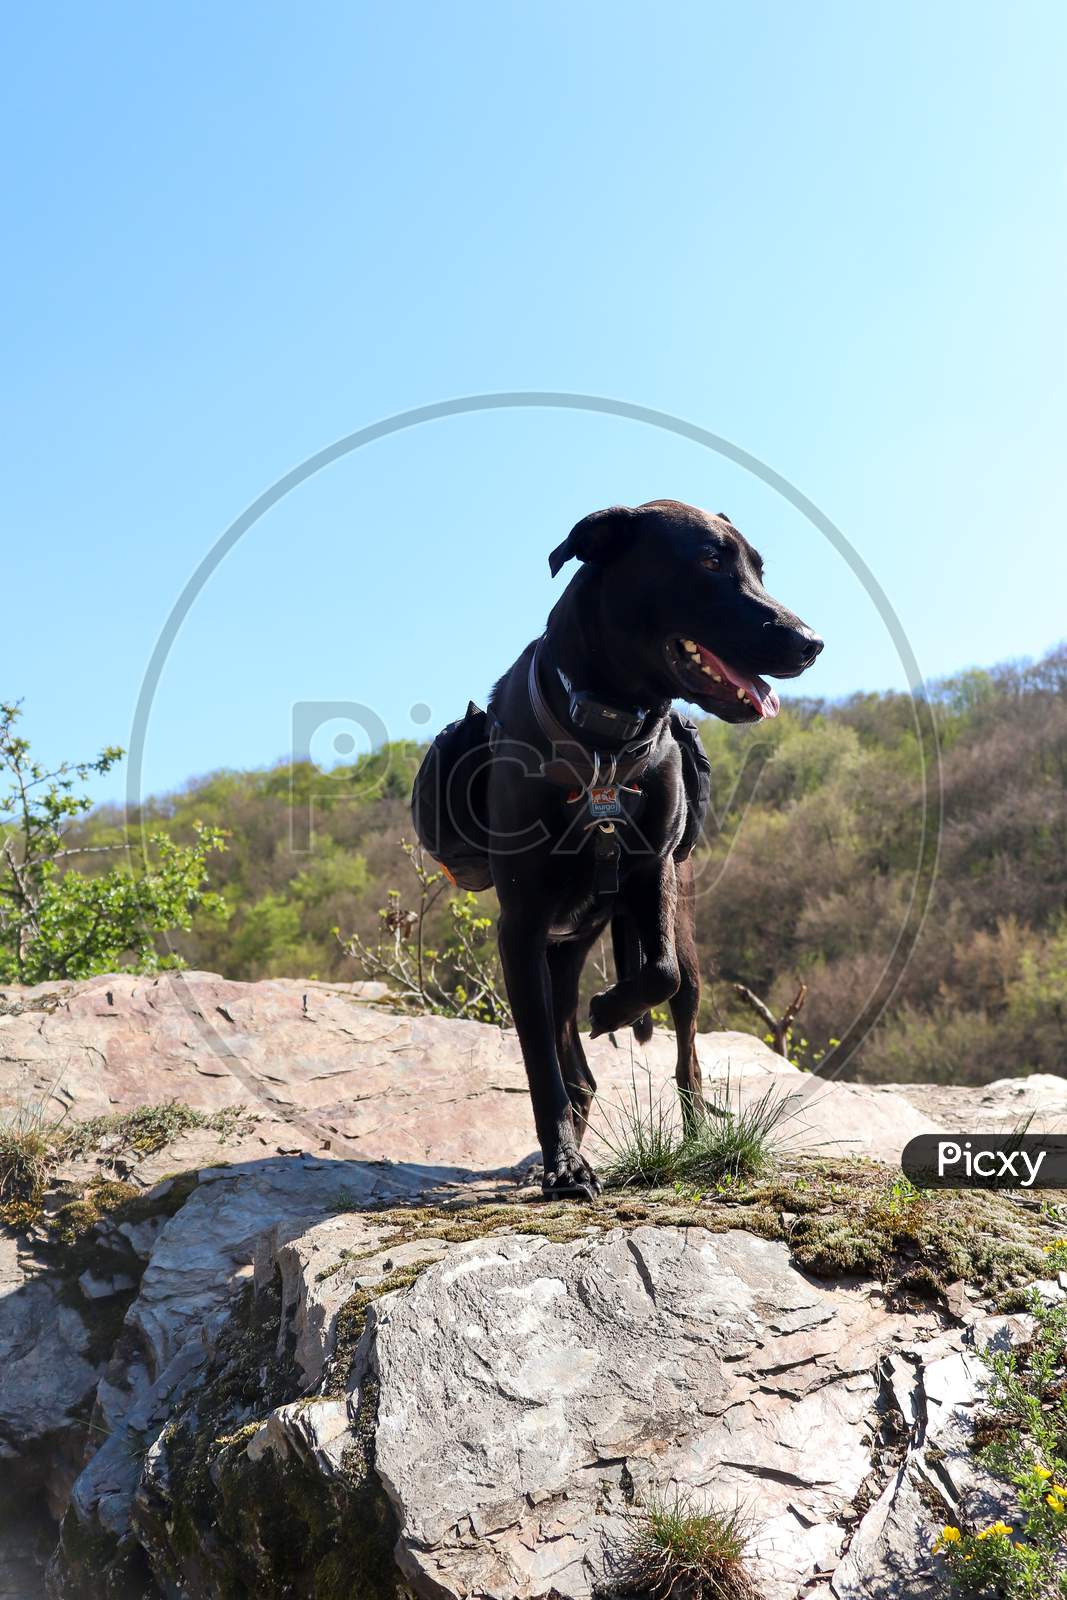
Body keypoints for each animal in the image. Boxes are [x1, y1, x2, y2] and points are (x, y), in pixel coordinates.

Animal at [479, 502, 825, 1203]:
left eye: (759, 567)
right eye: (711, 560)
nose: (811, 642)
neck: (605, 737)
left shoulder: (654, 874)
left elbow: (657, 972)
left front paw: (613, 1006)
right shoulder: (521, 926)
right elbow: (540, 1063)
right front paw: (564, 1168)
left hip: (673, 935)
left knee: (685, 1046)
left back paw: (694, 1138)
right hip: (559, 951)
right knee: (575, 1069)